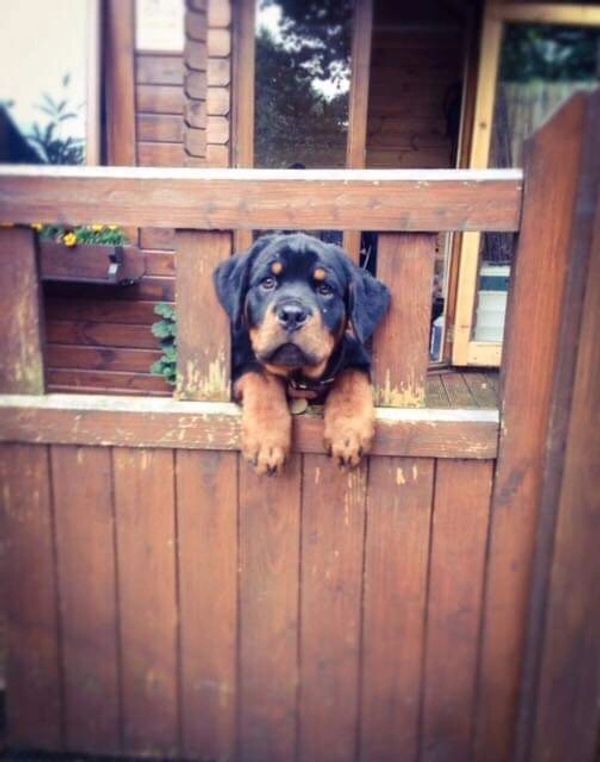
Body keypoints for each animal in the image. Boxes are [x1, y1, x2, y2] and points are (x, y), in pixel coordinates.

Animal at [213, 232, 392, 472]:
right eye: (268, 282)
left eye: (325, 289)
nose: (292, 314)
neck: (299, 378)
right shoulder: (241, 362)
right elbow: (262, 376)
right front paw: (266, 440)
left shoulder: (356, 356)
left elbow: (351, 377)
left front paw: (348, 431)